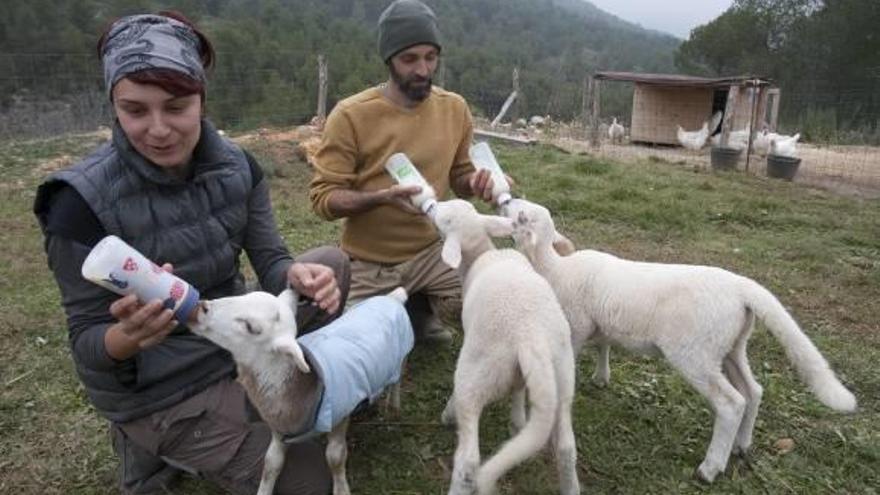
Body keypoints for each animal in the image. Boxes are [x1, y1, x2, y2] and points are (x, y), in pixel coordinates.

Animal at [191, 286, 410, 495]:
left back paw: (394, 406)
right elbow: (271, 462)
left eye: (251, 327)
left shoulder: (339, 416)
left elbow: (335, 456)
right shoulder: (279, 427)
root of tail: (391, 298)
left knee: (398, 380)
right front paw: (264, 489)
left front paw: (341, 489)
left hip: (401, 357)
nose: (200, 308)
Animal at [432, 200, 580, 494]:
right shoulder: (523, 374)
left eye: (445, 220)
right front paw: (517, 423)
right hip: (562, 375)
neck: (482, 254)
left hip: (478, 370)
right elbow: (519, 392)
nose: (431, 207)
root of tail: (531, 335)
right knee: (567, 447)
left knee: (468, 460)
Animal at [506, 199, 856, 484]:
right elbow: (604, 345)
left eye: (522, 216)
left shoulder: (576, 325)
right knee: (753, 390)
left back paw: (710, 468)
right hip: (730, 346)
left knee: (732, 403)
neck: (554, 267)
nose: (507, 200)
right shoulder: (599, 322)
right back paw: (741, 445)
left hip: (695, 353)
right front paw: (602, 377)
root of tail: (744, 290)